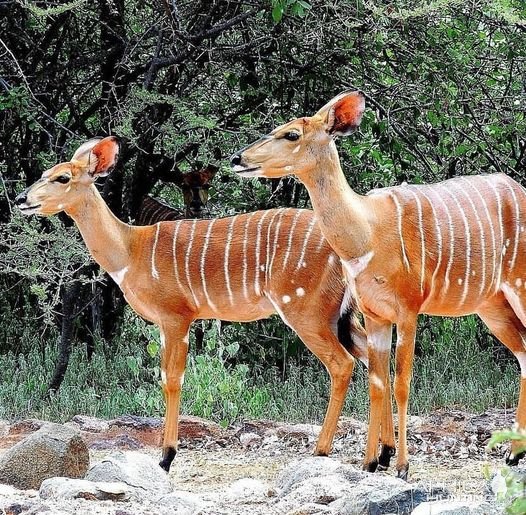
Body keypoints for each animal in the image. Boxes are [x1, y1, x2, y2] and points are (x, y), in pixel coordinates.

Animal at [13, 136, 396, 472]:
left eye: (62, 177)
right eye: (44, 172)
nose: (21, 198)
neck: (131, 249)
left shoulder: (176, 316)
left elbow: (172, 379)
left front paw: (166, 457)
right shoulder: (166, 322)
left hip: (307, 313)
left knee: (342, 364)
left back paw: (323, 450)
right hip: (342, 317)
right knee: (375, 361)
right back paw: (382, 456)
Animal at [232, 89, 526, 480]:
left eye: (291, 134)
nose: (237, 158)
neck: (368, 232)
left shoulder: (409, 309)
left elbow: (401, 382)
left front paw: (401, 465)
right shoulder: (374, 313)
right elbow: (376, 381)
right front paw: (371, 461)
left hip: (519, 286)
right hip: (491, 304)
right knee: (524, 352)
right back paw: (513, 453)